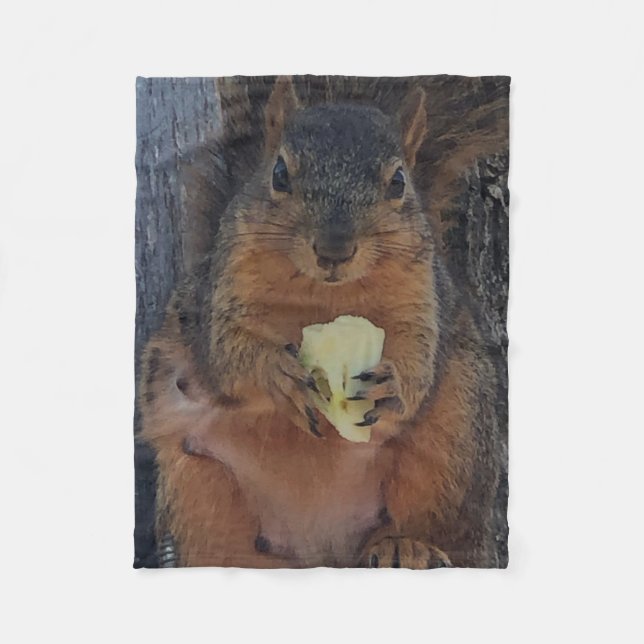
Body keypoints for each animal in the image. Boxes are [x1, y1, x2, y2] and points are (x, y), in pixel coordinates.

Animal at [139, 76, 508, 568]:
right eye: (279, 173)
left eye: (398, 182)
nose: (334, 249)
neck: (326, 297)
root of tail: (322, 550)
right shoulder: (220, 296)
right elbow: (228, 356)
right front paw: (275, 372)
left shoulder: (422, 300)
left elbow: (418, 359)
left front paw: (393, 382)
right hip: (198, 484)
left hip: (455, 444)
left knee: (445, 529)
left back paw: (405, 546)